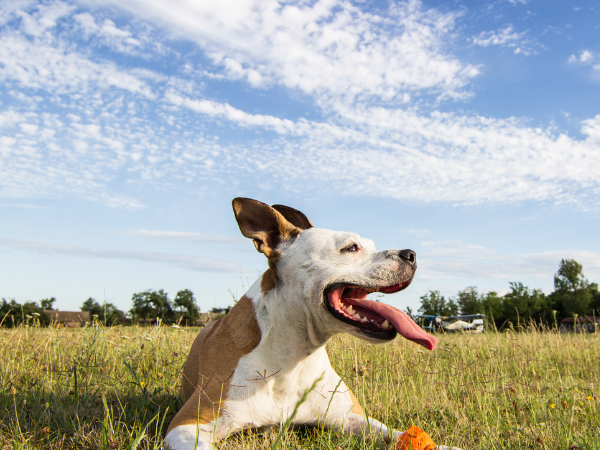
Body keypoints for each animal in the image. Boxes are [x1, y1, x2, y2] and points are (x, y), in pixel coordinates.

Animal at [162, 199, 458, 448]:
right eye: (351, 247)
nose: (411, 254)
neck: (291, 359)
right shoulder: (187, 425)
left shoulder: (353, 419)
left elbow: (401, 435)